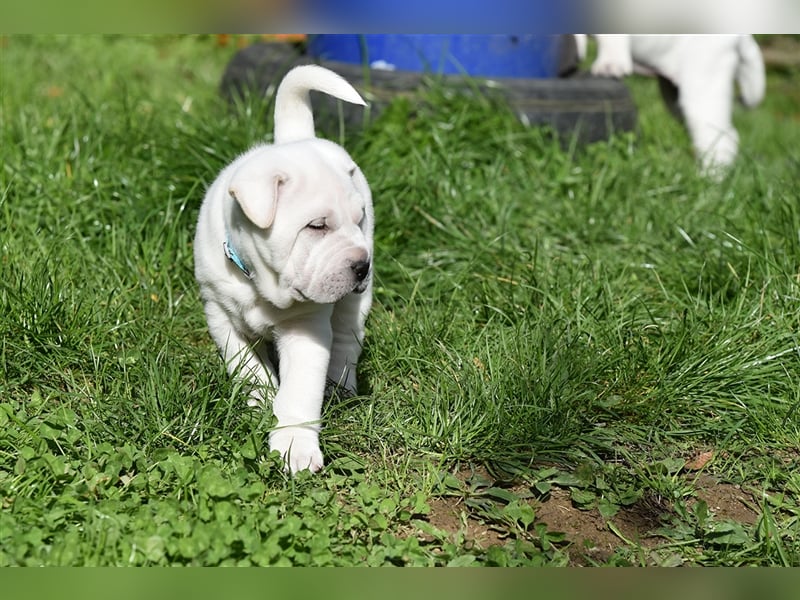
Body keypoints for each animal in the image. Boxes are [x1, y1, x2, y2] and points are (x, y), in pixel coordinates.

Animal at [194, 64, 372, 474]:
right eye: (316, 226)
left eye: (359, 220)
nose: (362, 265)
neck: (260, 283)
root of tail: (297, 136)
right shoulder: (219, 314)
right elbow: (247, 367)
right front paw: (260, 400)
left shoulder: (306, 327)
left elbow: (300, 392)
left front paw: (295, 446)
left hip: (356, 304)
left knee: (347, 336)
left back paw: (341, 384)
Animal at [580, 34, 764, 178]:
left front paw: (610, 63)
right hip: (675, 97)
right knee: (723, 136)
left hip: (702, 87)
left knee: (721, 140)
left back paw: (709, 181)